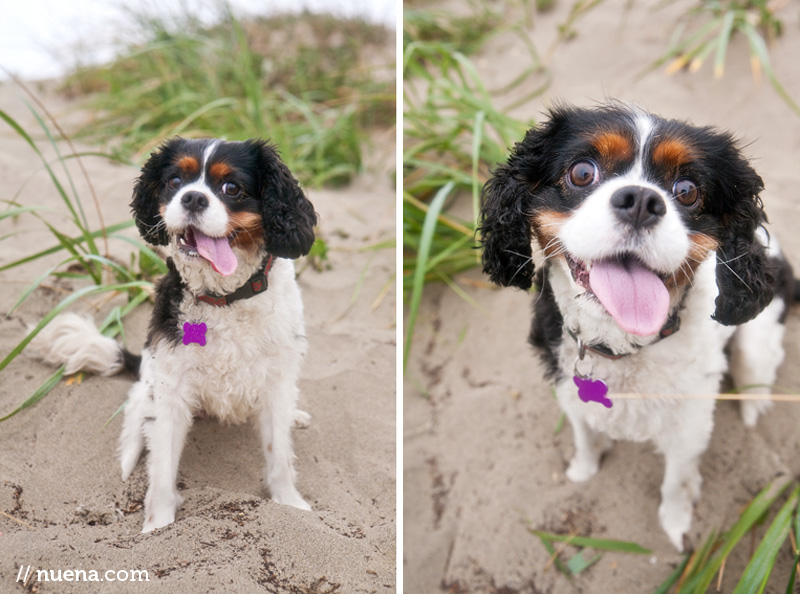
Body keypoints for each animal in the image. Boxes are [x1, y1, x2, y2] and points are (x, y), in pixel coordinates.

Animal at [31, 136, 318, 528]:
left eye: (232, 188)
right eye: (175, 181)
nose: (192, 198)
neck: (224, 298)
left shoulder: (276, 380)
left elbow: (279, 454)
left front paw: (290, 504)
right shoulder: (171, 389)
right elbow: (162, 467)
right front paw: (158, 527)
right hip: (149, 379)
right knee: (137, 409)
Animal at [478, 103, 796, 552]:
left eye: (687, 190)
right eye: (582, 172)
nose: (642, 200)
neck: (621, 344)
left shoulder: (689, 425)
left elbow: (675, 482)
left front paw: (676, 523)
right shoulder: (568, 385)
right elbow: (584, 435)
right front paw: (583, 469)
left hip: (757, 341)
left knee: (756, 376)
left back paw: (752, 411)